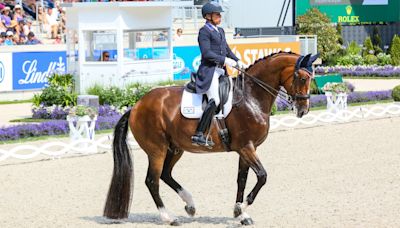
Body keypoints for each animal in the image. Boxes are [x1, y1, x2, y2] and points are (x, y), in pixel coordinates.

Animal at [103, 52, 318, 226]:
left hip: (175, 148)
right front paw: (241, 208)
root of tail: (136, 106)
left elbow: (242, 180)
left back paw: (190, 205)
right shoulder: (246, 147)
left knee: (165, 175)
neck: (252, 98)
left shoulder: (247, 149)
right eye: (301, 77)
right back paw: (169, 218)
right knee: (152, 181)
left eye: (311, 77)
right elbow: (262, 176)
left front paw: (240, 214)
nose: (303, 110)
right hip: (157, 149)